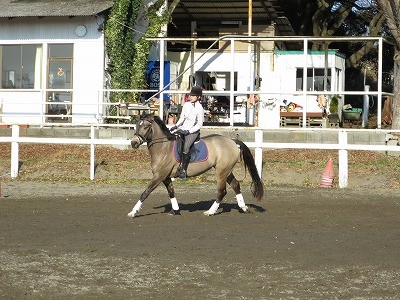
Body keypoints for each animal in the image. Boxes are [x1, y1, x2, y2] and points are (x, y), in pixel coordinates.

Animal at [128, 113, 264, 217]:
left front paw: (133, 212)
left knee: (222, 191)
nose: (134, 143)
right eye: (136, 126)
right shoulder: (166, 177)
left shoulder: (159, 176)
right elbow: (171, 192)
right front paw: (175, 210)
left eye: (146, 126)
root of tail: (232, 141)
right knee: (236, 185)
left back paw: (210, 212)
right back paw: (244, 208)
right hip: (227, 170)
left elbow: (145, 193)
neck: (163, 148)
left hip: (221, 172)